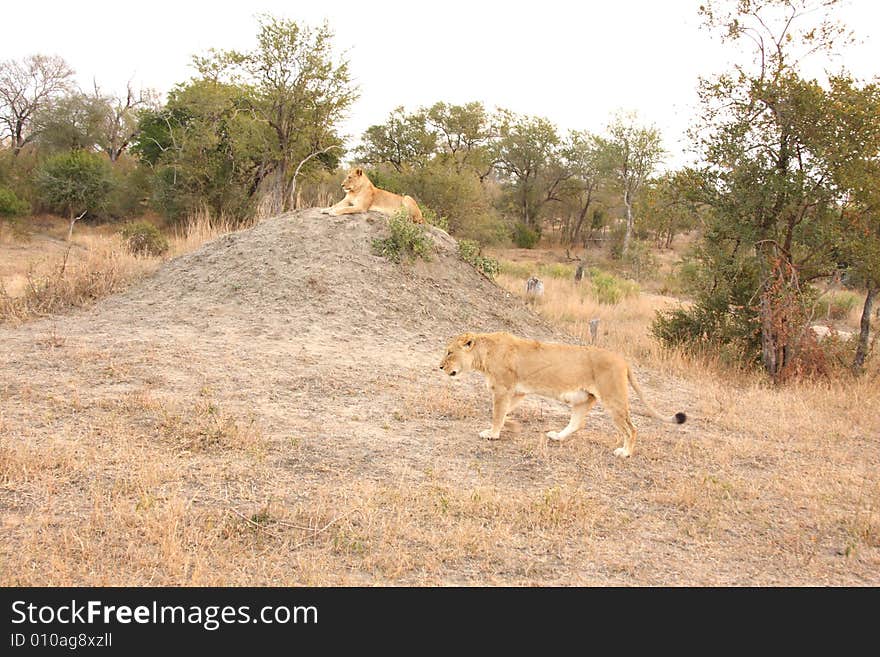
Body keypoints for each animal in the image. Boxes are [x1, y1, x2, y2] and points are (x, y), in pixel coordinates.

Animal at [440, 330, 688, 458]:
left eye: (449, 352)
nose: (440, 367)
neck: (485, 354)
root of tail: (623, 360)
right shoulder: (517, 392)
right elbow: (502, 413)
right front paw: (511, 426)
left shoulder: (503, 389)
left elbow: (496, 413)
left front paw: (492, 434)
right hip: (583, 399)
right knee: (577, 423)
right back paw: (557, 437)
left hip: (613, 399)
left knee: (631, 428)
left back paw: (625, 452)